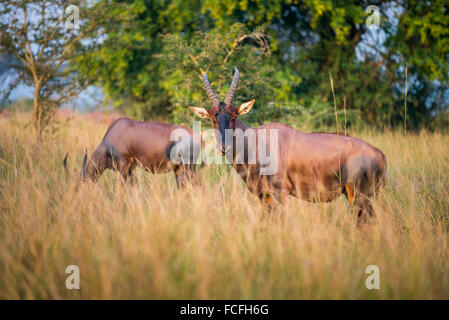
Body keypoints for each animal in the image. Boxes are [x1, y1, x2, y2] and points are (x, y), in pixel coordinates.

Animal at [188, 66, 384, 224]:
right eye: (213, 117)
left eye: (234, 115)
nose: (223, 148)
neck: (257, 141)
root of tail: (380, 155)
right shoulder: (263, 196)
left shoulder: (280, 192)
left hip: (358, 196)